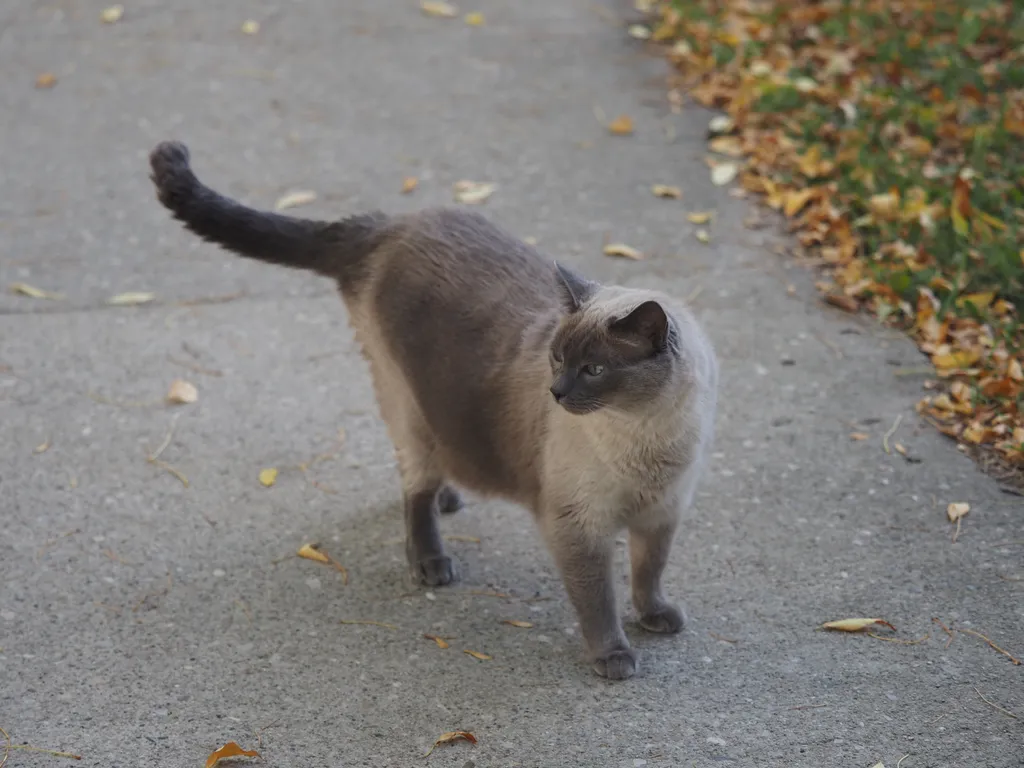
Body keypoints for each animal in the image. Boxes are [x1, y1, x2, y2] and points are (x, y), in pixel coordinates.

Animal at [148, 141, 716, 684]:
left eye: (594, 369)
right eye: (558, 359)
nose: (555, 392)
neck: (645, 438)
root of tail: (388, 223)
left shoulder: (663, 514)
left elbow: (648, 574)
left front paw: (657, 618)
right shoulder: (580, 529)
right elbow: (598, 602)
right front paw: (615, 658)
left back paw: (450, 497)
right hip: (405, 403)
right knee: (413, 487)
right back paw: (430, 561)